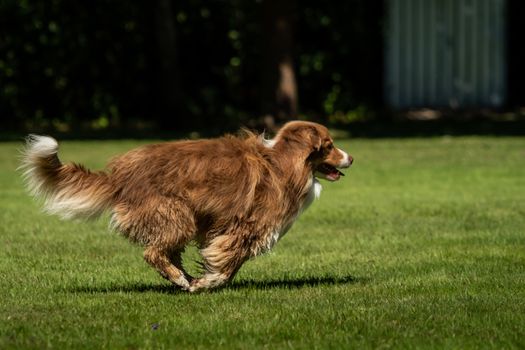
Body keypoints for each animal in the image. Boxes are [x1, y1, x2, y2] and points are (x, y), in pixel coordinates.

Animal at [22, 121, 354, 292]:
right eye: (329, 145)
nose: (351, 158)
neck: (285, 162)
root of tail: (119, 176)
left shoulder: (228, 229)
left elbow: (228, 261)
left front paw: (204, 280)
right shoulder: (246, 227)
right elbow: (227, 262)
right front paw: (207, 283)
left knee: (166, 251)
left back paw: (183, 278)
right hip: (176, 214)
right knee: (153, 253)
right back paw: (181, 279)